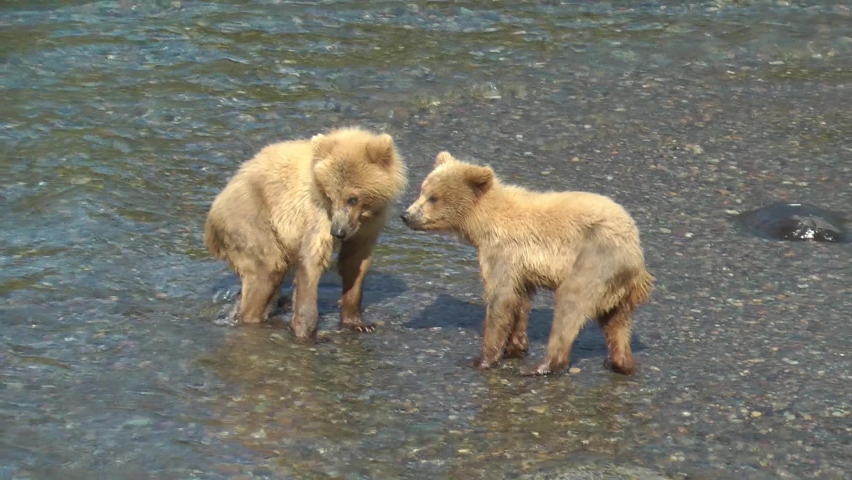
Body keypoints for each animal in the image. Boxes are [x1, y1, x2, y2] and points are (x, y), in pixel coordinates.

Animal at [204, 127, 407, 341]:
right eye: (330, 196)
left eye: (352, 198)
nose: (338, 232)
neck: (363, 216)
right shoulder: (318, 216)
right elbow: (312, 261)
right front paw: (306, 332)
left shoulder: (369, 226)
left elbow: (355, 264)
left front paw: (359, 323)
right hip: (251, 219)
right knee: (267, 267)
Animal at [401, 151, 652, 376]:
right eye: (422, 190)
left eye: (433, 197)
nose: (406, 215)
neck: (482, 224)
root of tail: (637, 255)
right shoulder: (522, 268)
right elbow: (520, 301)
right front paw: (516, 346)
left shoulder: (503, 252)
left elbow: (500, 299)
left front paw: (482, 359)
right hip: (617, 288)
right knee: (616, 324)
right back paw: (619, 363)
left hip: (596, 259)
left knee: (570, 304)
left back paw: (542, 366)